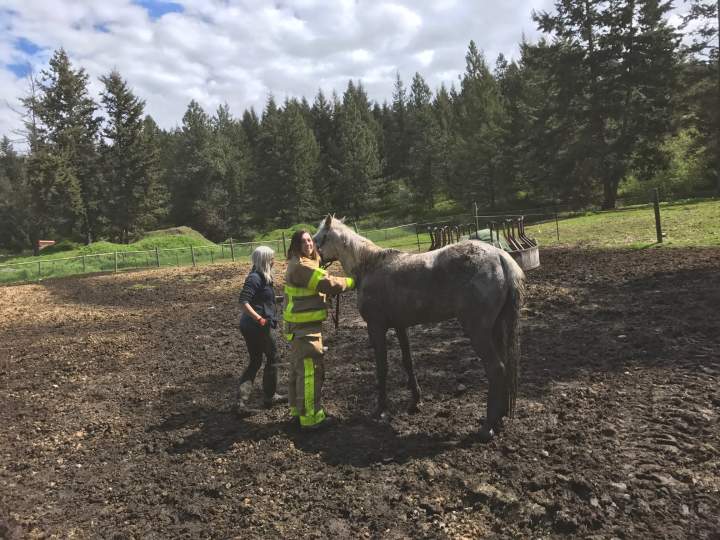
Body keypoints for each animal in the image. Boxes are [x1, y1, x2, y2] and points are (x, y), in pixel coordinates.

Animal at [313, 215, 525, 442]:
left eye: (317, 239)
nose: (314, 261)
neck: (369, 267)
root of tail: (501, 257)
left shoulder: (376, 327)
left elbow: (382, 368)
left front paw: (380, 410)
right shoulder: (400, 326)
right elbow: (408, 362)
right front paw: (415, 401)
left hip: (478, 331)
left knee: (496, 369)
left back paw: (487, 428)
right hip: (497, 328)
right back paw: (499, 420)